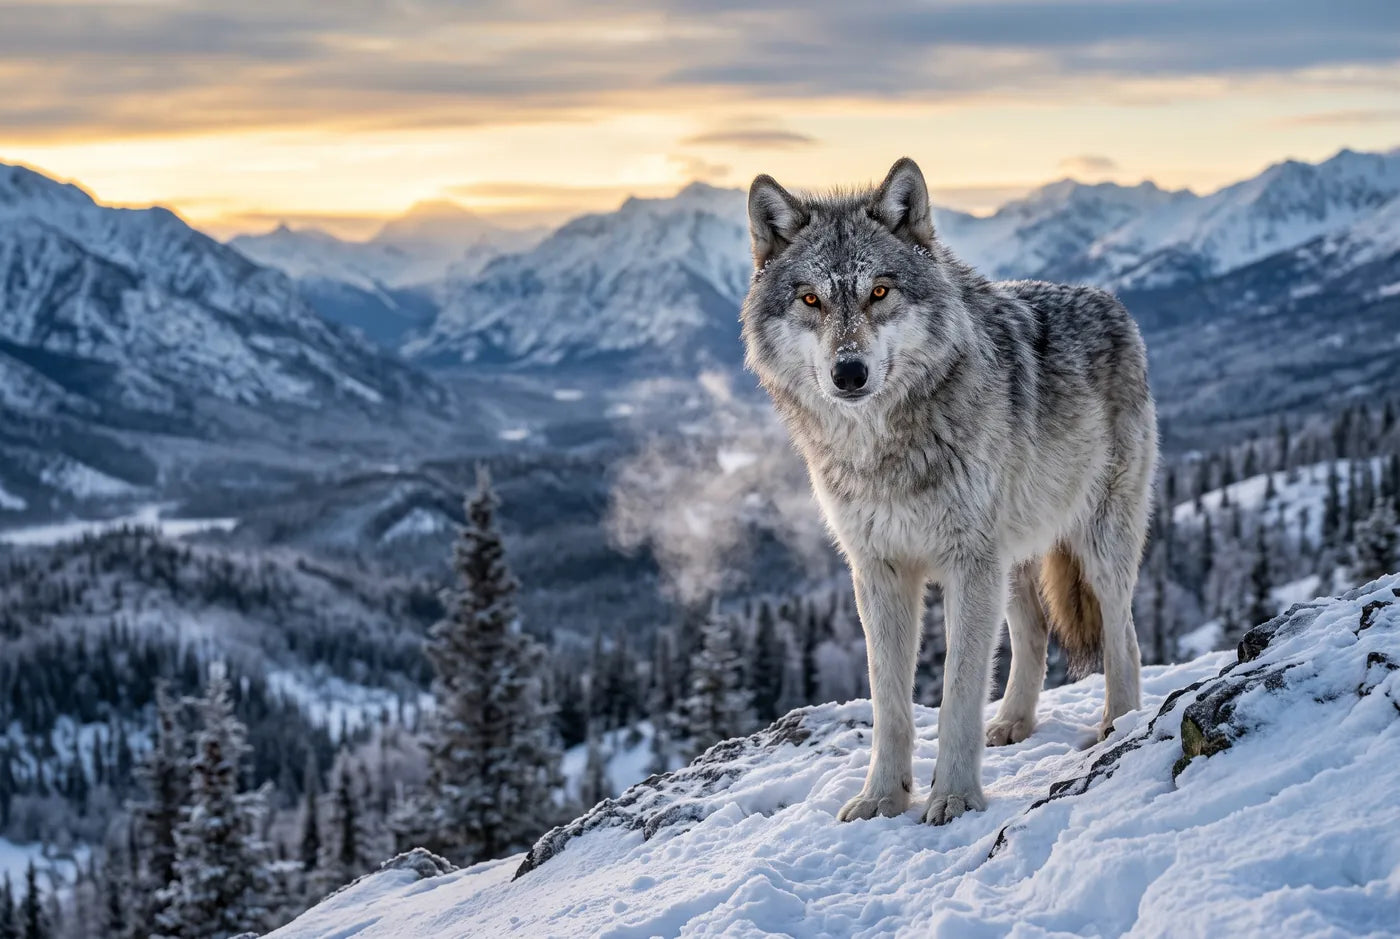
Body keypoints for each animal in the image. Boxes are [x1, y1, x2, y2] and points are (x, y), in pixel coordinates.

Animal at [740, 158, 1157, 824]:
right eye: (811, 299)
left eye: (879, 291)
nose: (848, 372)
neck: (883, 449)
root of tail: (1110, 301)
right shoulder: (879, 572)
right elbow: (890, 703)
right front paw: (882, 797)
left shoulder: (969, 564)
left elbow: (959, 690)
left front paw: (955, 797)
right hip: (1013, 560)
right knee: (1035, 632)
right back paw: (1012, 723)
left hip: (1096, 546)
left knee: (1125, 635)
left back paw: (1117, 724)